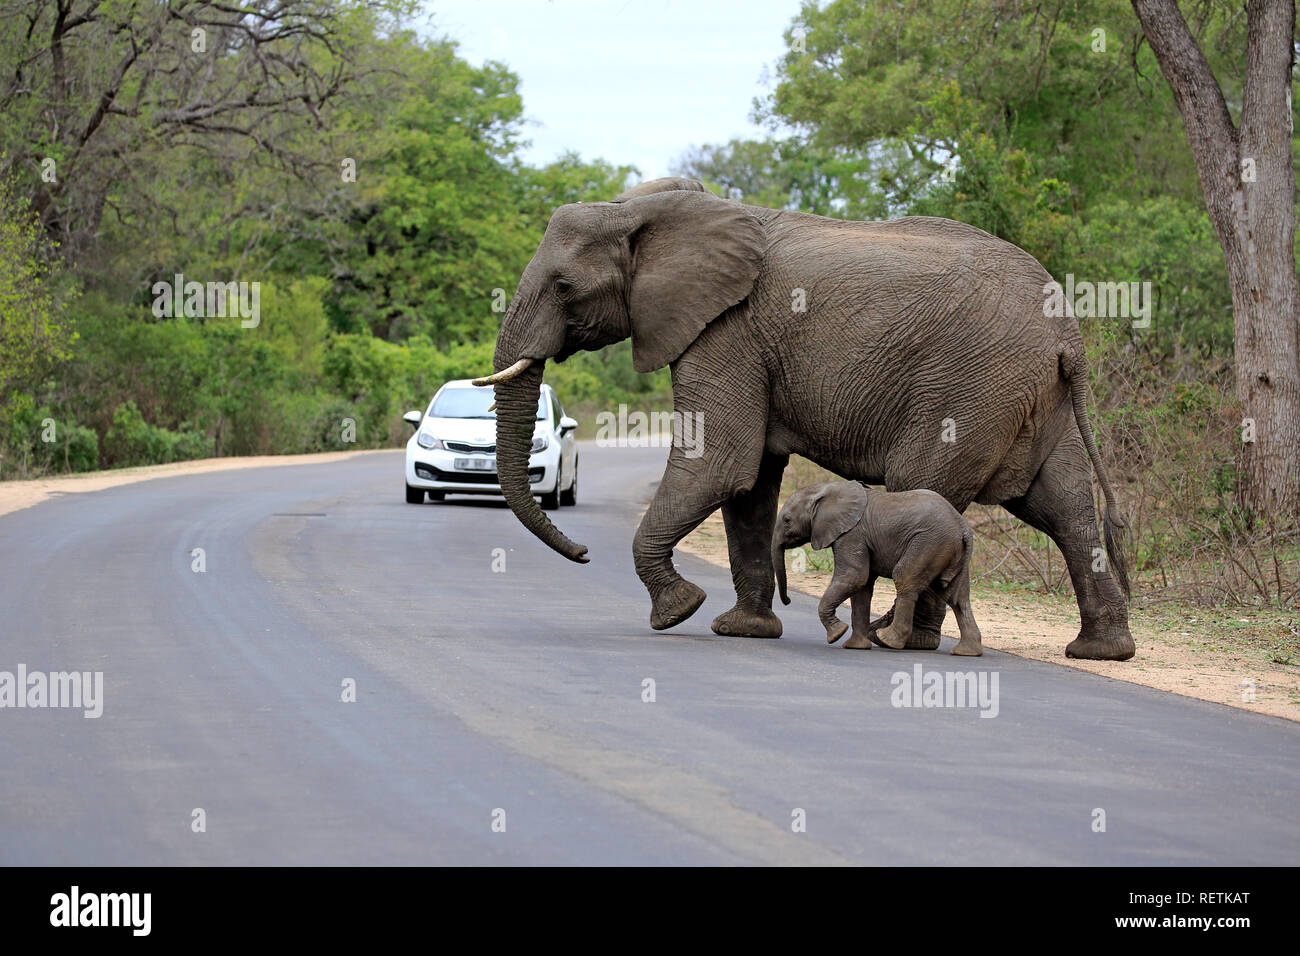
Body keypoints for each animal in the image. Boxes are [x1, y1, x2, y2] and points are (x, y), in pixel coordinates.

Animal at [769, 481, 982, 655]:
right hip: (951, 550)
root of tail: (963, 528)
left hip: (929, 543)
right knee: (956, 597)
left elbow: (854, 577)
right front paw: (855, 647)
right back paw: (967, 652)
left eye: (787, 520)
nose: (787, 601)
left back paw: (887, 640)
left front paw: (836, 635)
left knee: (904, 578)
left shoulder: (851, 535)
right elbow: (862, 588)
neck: (827, 489)